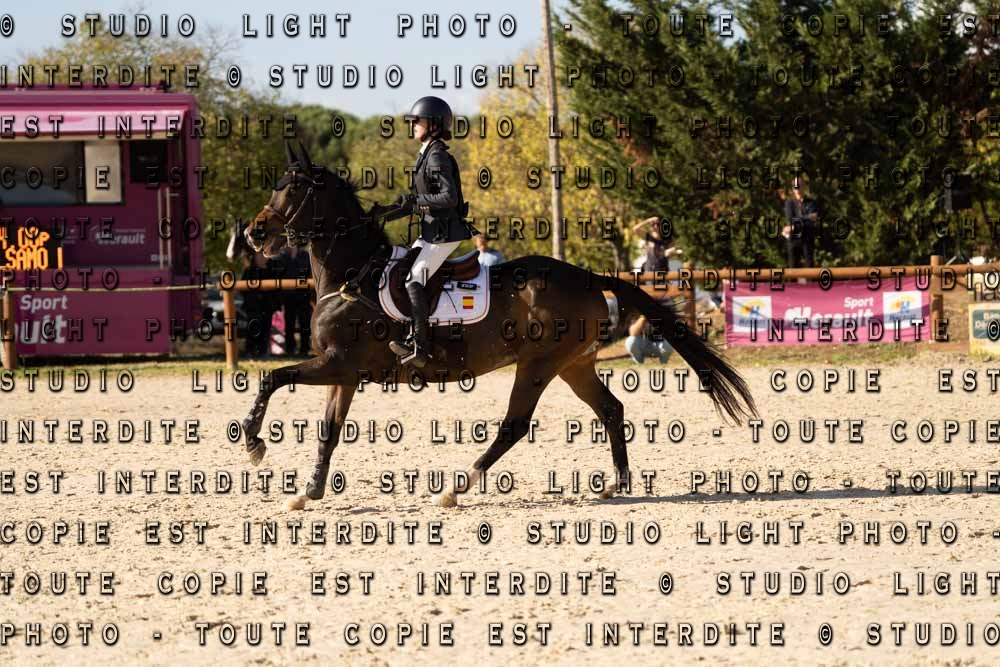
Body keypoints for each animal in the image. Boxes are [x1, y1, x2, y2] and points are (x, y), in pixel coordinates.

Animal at [240, 141, 758, 509]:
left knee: (514, 424)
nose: (253, 233)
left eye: (291, 189)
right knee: (611, 410)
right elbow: (327, 430)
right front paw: (306, 492)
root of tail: (588, 276)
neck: (351, 274)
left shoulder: (336, 363)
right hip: (573, 364)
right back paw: (617, 484)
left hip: (539, 364)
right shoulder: (343, 373)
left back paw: (456, 488)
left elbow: (271, 379)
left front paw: (254, 444)